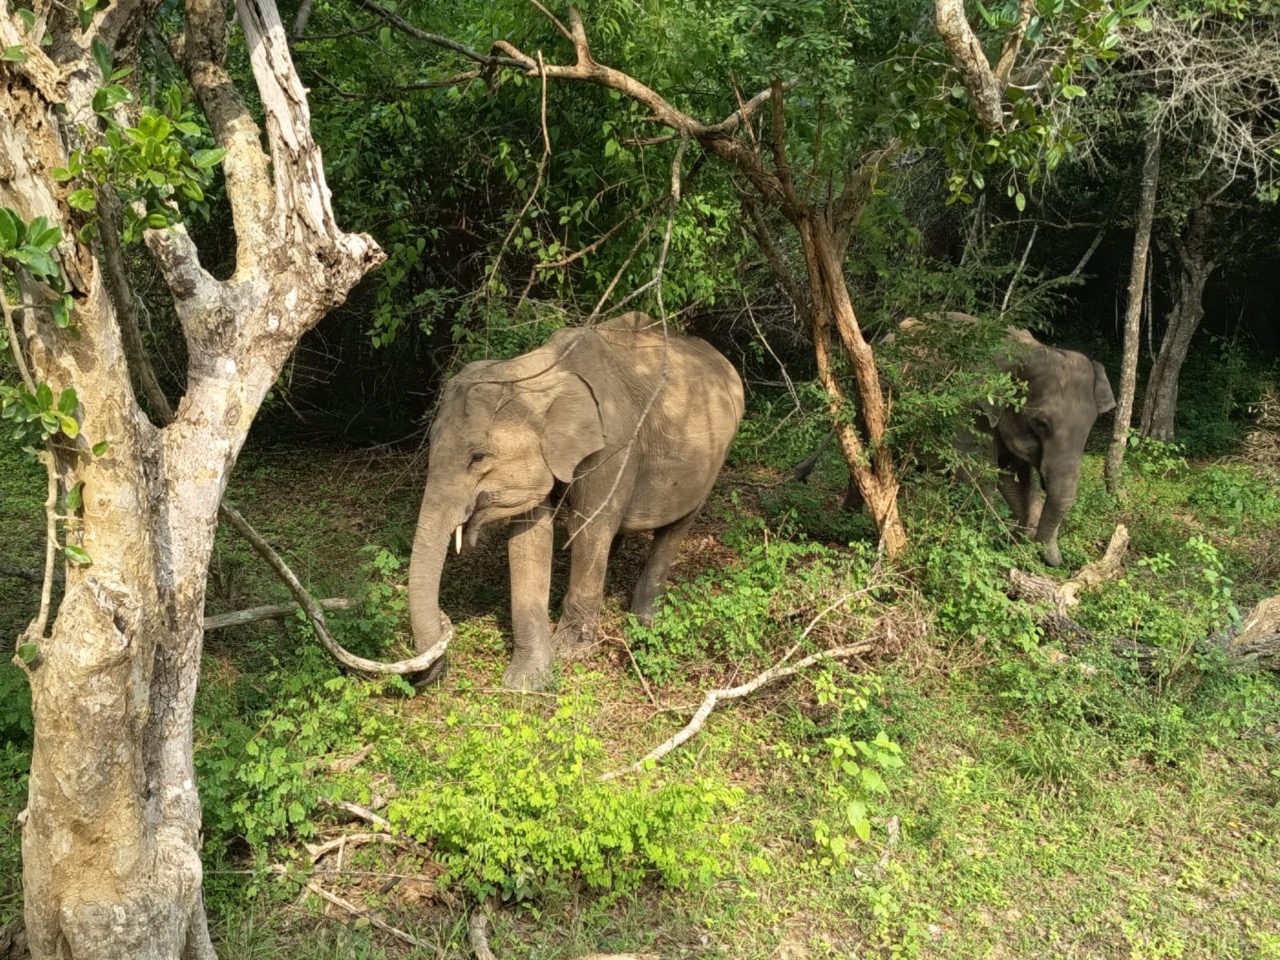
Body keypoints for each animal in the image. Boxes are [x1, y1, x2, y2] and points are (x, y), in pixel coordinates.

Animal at [407, 312, 745, 691]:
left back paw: (643, 623)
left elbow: (588, 527)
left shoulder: (614, 449)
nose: (429, 673)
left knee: (672, 530)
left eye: (477, 458)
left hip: (715, 458)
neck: (539, 371)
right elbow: (529, 539)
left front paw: (570, 654)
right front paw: (529, 682)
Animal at [795, 314, 1116, 567]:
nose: (1057, 562)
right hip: (870, 400)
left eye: (1090, 426)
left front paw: (1020, 543)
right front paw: (995, 545)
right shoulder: (968, 410)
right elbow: (978, 478)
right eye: (1041, 424)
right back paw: (850, 523)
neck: (1031, 349)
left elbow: (1015, 480)